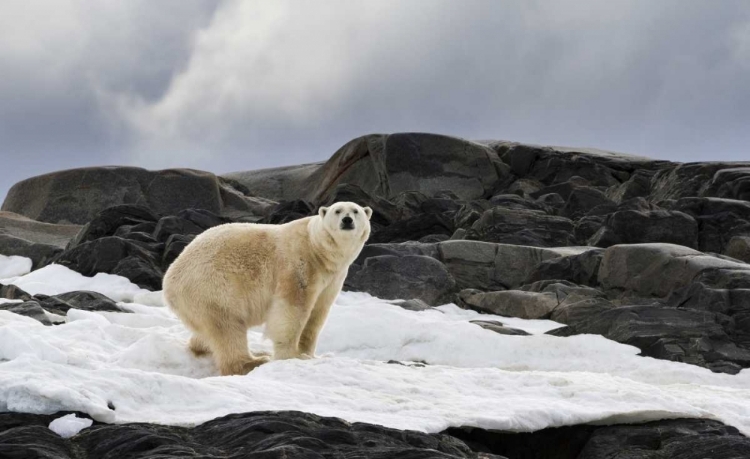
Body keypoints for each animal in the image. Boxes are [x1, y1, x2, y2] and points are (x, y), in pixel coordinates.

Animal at [166, 203, 374, 376]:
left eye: (356, 211)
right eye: (337, 210)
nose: (347, 220)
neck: (318, 250)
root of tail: (169, 281)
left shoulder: (332, 277)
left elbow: (317, 313)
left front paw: (308, 354)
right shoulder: (300, 263)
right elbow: (292, 308)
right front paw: (292, 355)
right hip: (213, 287)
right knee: (228, 327)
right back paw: (253, 361)